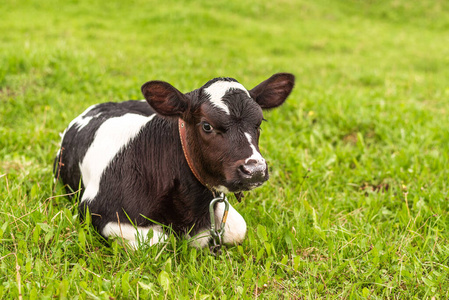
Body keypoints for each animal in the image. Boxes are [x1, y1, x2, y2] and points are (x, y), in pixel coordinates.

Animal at [54, 72, 294, 248]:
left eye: (259, 123)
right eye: (206, 125)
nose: (255, 170)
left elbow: (237, 229)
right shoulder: (95, 209)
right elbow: (157, 241)